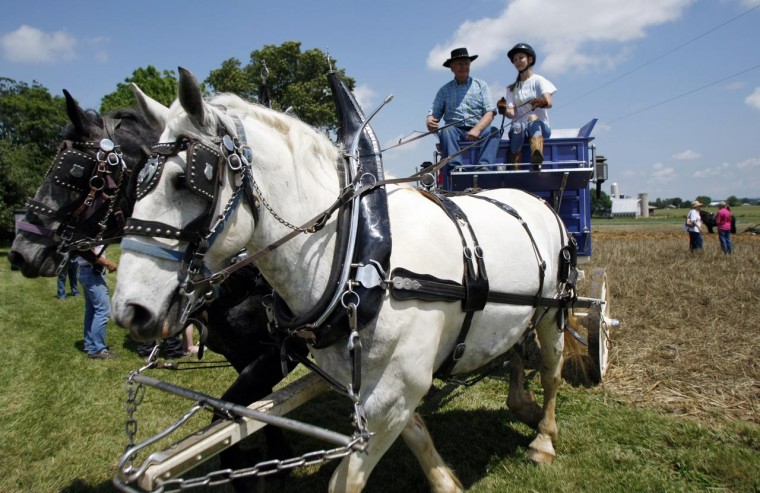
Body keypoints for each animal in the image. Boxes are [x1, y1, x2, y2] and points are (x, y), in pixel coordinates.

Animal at [7, 90, 299, 492]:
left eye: (76, 173)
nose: (20, 250)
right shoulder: (243, 356)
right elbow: (254, 415)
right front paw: (277, 458)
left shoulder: (276, 354)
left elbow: (228, 423)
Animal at [112, 68, 576, 492]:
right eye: (135, 183)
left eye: (185, 181)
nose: (129, 311)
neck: (356, 251)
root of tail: (533, 197)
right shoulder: (381, 386)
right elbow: (415, 432)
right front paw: (446, 482)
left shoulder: (399, 385)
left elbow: (347, 478)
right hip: (522, 314)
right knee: (516, 347)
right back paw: (522, 403)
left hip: (556, 309)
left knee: (551, 369)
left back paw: (544, 438)